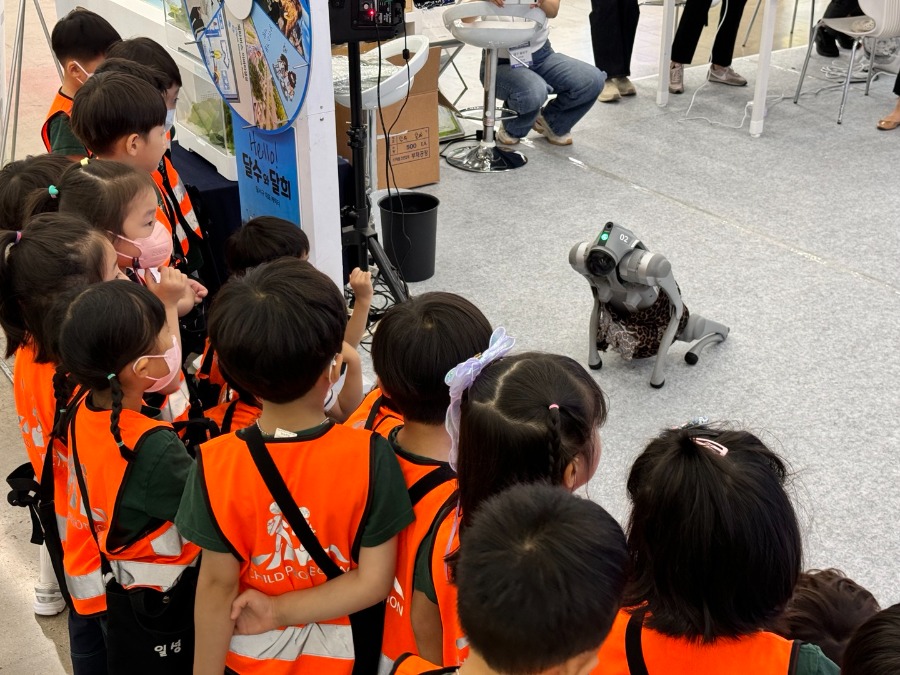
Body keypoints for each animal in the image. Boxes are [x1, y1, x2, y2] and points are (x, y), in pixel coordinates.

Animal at [568, 223, 732, 386]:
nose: (609, 226)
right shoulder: (580, 261)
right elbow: (596, 309)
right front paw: (594, 362)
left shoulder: (658, 266)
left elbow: (676, 307)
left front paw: (657, 381)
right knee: (696, 326)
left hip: (681, 324)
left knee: (696, 326)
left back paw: (722, 333)